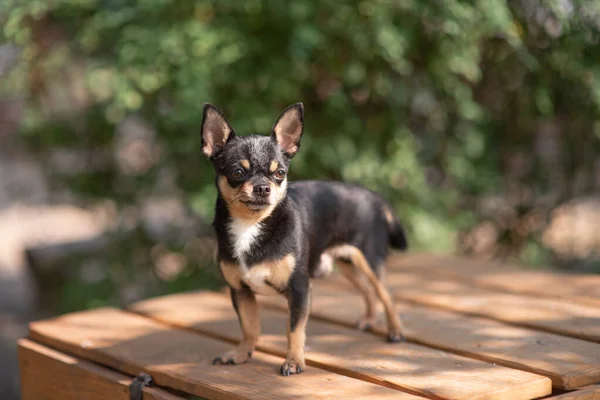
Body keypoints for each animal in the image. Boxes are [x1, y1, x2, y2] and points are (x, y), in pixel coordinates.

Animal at [202, 102, 408, 376]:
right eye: (237, 172)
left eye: (280, 173)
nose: (263, 187)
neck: (251, 225)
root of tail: (373, 196)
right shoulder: (240, 291)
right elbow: (249, 327)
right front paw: (241, 354)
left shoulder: (299, 289)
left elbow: (294, 329)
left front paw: (294, 361)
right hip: (346, 263)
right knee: (368, 291)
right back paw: (369, 319)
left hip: (369, 260)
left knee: (386, 293)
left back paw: (395, 330)